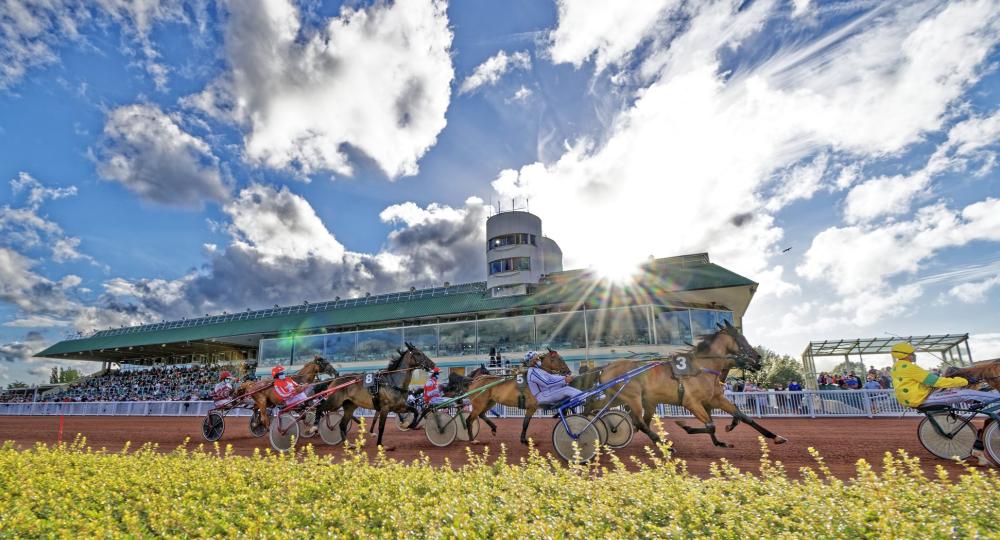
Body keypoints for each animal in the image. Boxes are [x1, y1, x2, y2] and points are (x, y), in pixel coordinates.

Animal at [580, 322, 788, 450]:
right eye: (741, 338)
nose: (758, 359)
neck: (703, 367)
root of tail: (606, 367)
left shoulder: (715, 399)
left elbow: (743, 417)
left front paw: (775, 436)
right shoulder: (691, 402)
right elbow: (710, 425)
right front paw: (685, 426)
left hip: (619, 398)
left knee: (597, 407)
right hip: (632, 398)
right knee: (638, 421)